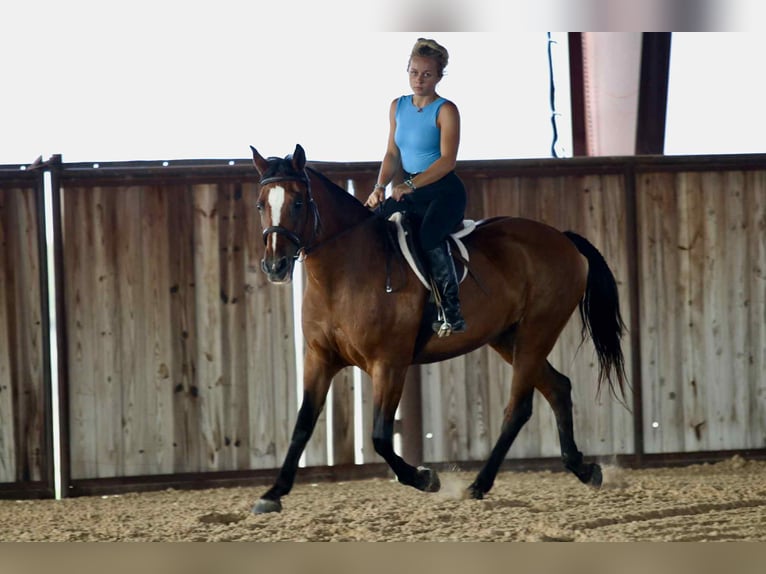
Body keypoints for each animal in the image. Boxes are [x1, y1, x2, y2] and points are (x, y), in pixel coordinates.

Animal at [250, 144, 627, 514]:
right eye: (260, 204)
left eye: (298, 202)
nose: (275, 265)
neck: (342, 275)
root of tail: (562, 238)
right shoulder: (320, 359)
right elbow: (303, 425)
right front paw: (273, 493)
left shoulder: (389, 364)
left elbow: (380, 437)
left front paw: (425, 478)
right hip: (508, 338)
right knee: (558, 388)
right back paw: (583, 469)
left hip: (538, 331)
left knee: (519, 407)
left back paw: (479, 484)